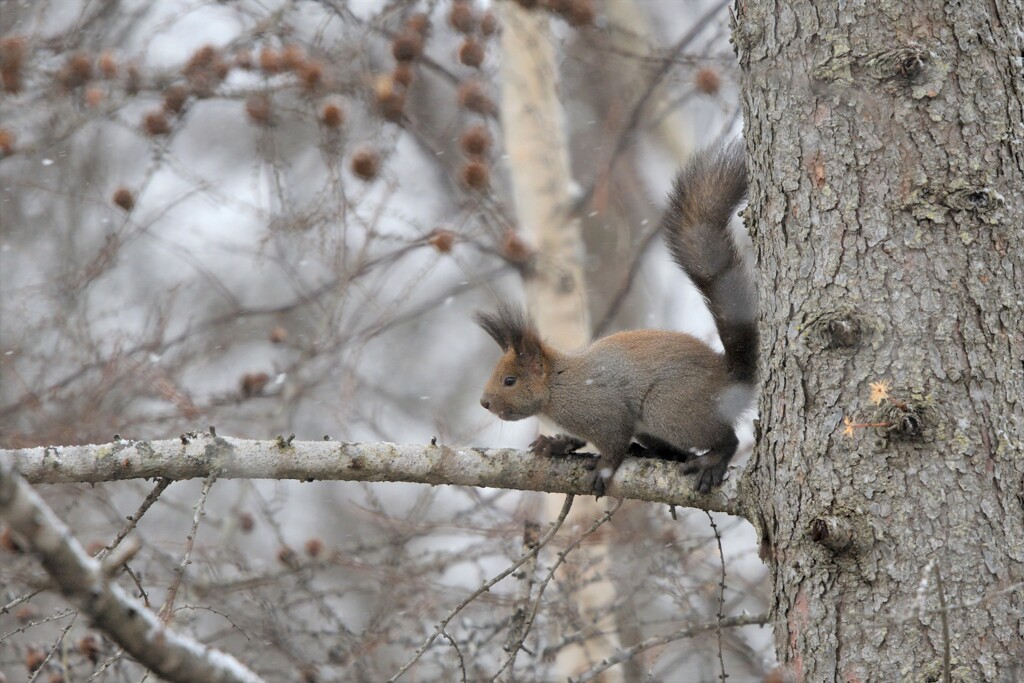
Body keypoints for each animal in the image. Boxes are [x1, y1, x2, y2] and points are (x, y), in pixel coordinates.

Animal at [475, 143, 757, 497]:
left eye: (510, 380)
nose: (484, 402)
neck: (556, 386)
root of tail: (730, 379)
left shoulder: (601, 411)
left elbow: (612, 443)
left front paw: (604, 469)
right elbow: (576, 439)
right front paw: (554, 444)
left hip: (669, 409)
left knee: (725, 438)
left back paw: (711, 461)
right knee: (676, 451)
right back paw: (650, 452)